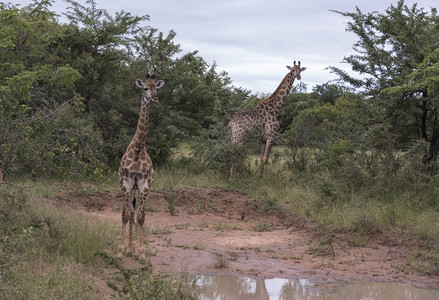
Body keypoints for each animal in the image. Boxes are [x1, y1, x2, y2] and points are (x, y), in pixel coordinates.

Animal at [117, 72, 164, 260]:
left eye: (156, 88)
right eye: (145, 88)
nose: (155, 98)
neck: (138, 149)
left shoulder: (144, 184)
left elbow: (141, 216)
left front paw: (141, 253)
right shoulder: (127, 183)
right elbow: (125, 215)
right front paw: (120, 251)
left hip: (137, 188)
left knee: (134, 213)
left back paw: (133, 249)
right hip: (129, 187)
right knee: (130, 213)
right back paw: (128, 249)